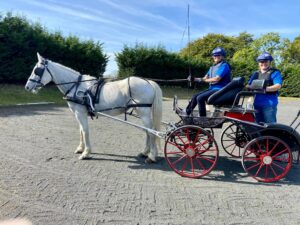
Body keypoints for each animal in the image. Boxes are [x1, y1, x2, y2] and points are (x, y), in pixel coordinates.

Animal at [24, 53, 163, 163]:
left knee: (152, 132)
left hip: (144, 112)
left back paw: (151, 156)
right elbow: (81, 130)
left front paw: (86, 153)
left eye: (37, 70)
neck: (76, 85)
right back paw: (144, 152)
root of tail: (148, 82)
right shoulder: (79, 114)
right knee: (147, 131)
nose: (27, 87)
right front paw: (80, 149)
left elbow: (85, 131)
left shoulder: (80, 113)